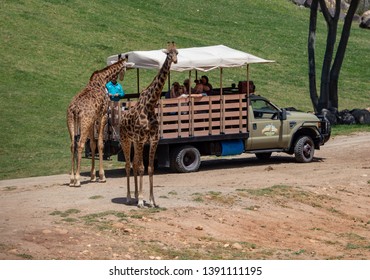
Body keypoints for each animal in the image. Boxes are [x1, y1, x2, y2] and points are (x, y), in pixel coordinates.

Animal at [66, 55, 129, 187]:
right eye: (126, 67)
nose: (121, 77)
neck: (103, 80)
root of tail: (74, 109)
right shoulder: (103, 116)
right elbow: (100, 144)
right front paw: (102, 176)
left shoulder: (93, 120)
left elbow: (92, 144)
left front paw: (93, 176)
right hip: (84, 122)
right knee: (80, 144)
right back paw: (77, 179)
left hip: (71, 122)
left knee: (72, 145)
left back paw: (72, 179)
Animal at [120, 42, 178, 208]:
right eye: (168, 54)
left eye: (177, 52)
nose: (175, 60)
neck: (150, 104)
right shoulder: (140, 139)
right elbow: (141, 168)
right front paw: (141, 200)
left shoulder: (153, 139)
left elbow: (150, 168)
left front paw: (152, 200)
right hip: (126, 140)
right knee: (128, 165)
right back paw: (129, 197)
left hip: (134, 142)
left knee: (134, 163)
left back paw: (134, 196)